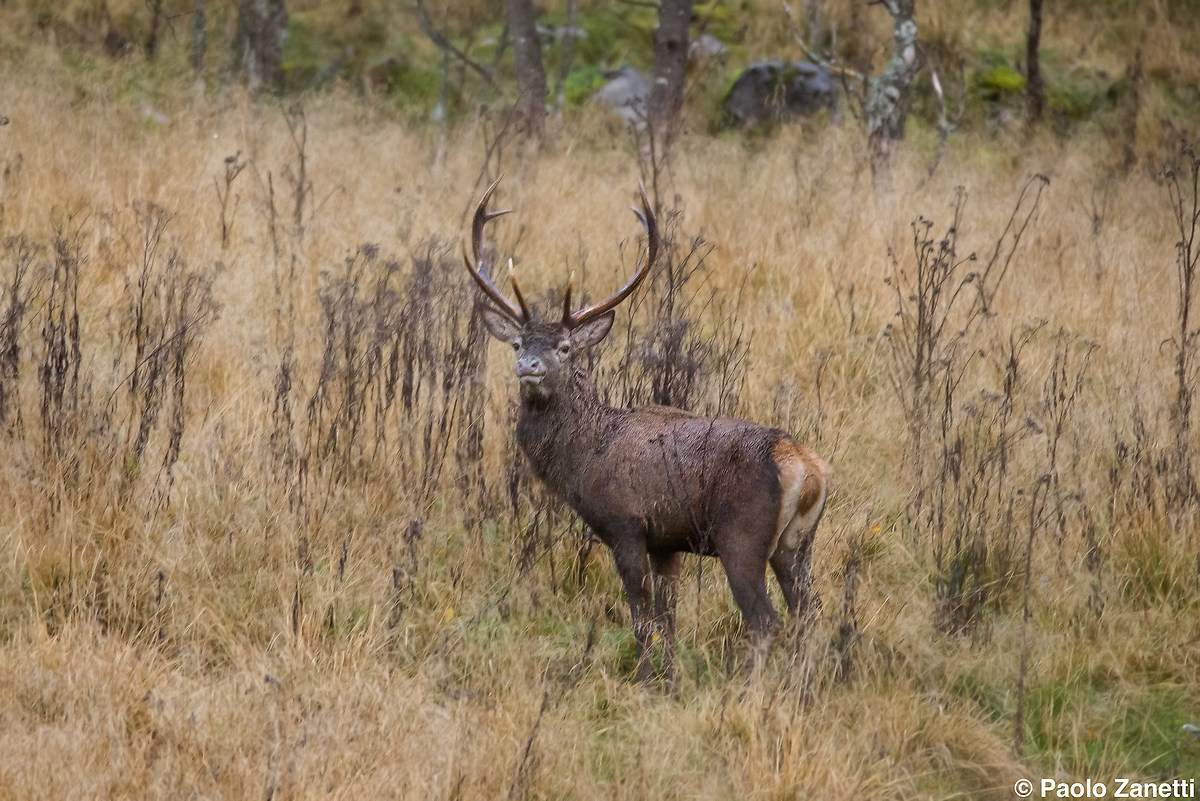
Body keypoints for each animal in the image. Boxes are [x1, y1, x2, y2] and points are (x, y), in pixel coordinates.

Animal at [465, 178, 832, 684]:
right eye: (518, 342)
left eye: (565, 347)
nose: (528, 367)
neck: (585, 459)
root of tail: (808, 469)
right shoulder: (667, 543)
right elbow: (669, 618)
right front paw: (670, 680)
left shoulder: (626, 524)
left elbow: (641, 617)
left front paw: (641, 680)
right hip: (798, 543)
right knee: (809, 614)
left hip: (742, 535)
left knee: (765, 620)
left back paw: (749, 688)